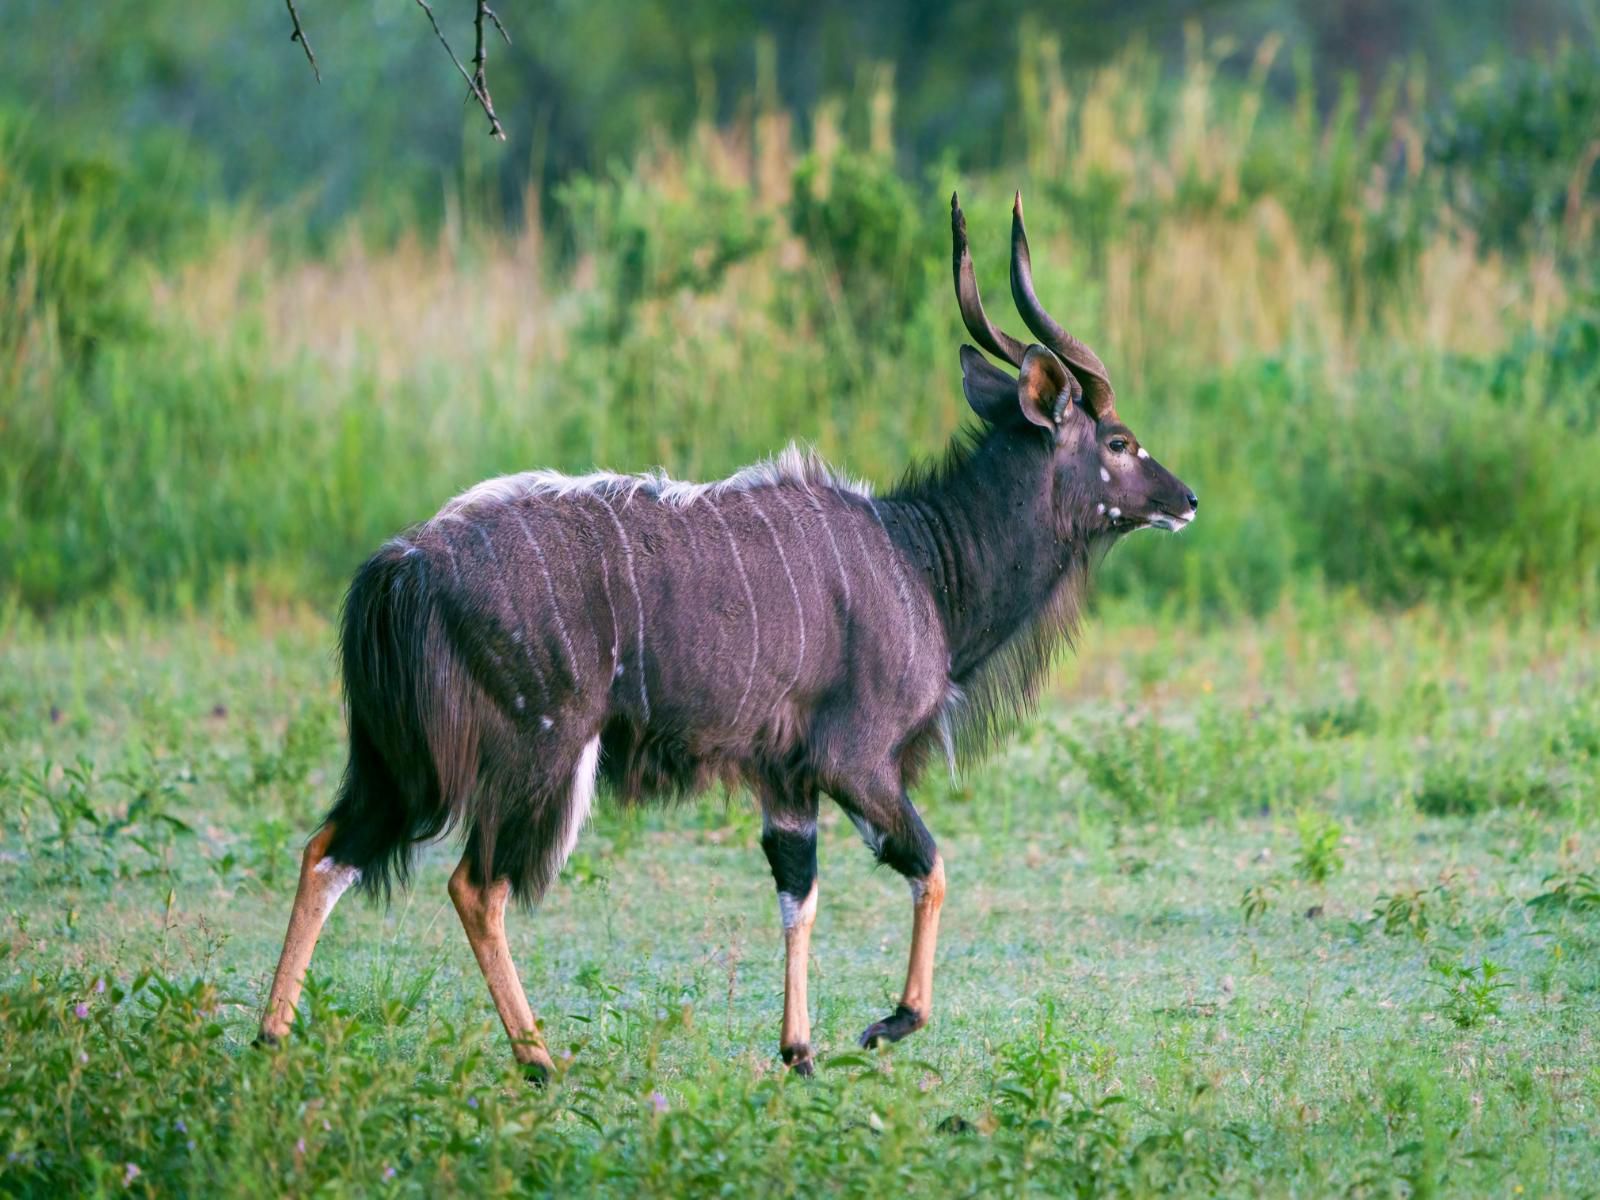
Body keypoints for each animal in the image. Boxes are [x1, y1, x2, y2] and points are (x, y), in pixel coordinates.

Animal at [256, 195, 1196, 1081]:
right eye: (1119, 441)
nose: (1185, 500)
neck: (921, 562)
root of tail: (397, 569)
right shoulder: (856, 761)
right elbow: (931, 866)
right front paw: (890, 1022)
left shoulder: (787, 777)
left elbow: (798, 893)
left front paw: (799, 1051)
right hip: (539, 752)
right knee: (475, 885)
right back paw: (540, 1061)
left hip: (398, 763)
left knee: (326, 853)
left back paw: (271, 1037)